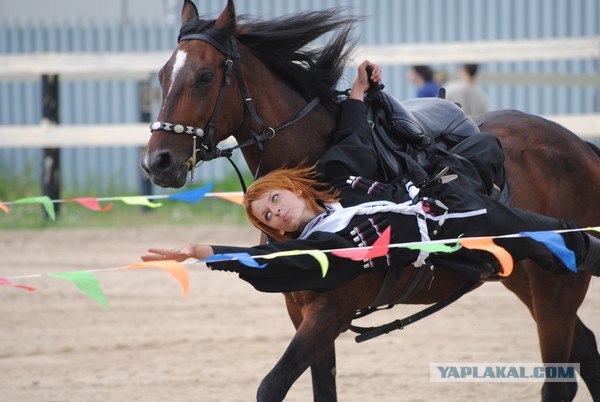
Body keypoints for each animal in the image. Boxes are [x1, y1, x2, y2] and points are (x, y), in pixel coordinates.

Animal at [142, 1, 600, 400]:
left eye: (204, 76)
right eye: (163, 75)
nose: (157, 161)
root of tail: (580, 147)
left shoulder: (330, 313)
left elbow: (271, 386)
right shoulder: (303, 311)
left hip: (556, 286)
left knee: (559, 378)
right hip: (522, 275)